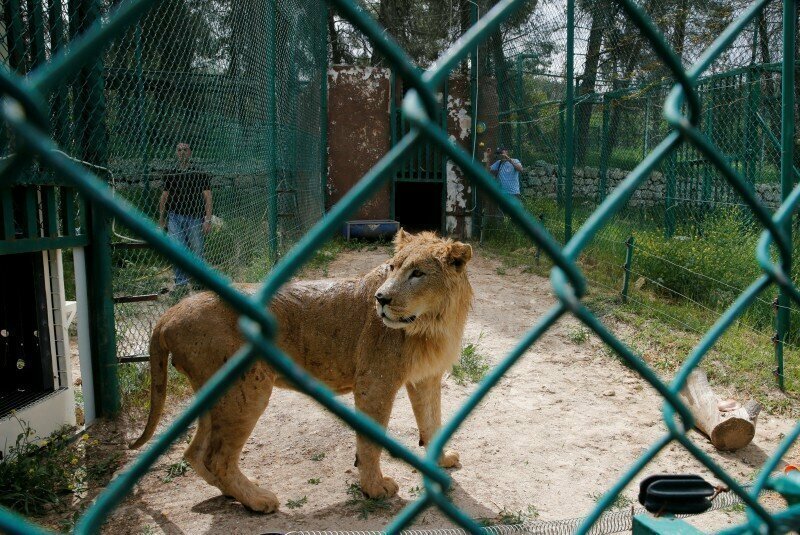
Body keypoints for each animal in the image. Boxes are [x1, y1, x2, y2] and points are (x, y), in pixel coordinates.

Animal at [128, 230, 472, 516]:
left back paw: (233, 495)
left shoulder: (426, 377)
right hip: (245, 389)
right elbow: (371, 442)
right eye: (392, 267)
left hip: (216, 394)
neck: (431, 324)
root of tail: (169, 314)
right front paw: (375, 489)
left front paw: (440, 461)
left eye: (418, 273)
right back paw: (258, 500)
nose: (381, 299)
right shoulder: (376, 381)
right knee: (217, 457)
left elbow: (432, 422)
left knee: (195, 452)